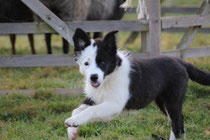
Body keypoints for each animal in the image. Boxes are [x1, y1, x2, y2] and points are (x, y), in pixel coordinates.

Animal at [65, 27, 209, 139]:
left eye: (102, 62)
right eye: (86, 63)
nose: (93, 78)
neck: (109, 77)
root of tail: (181, 62)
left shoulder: (115, 104)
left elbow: (92, 110)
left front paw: (73, 122)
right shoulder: (95, 97)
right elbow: (77, 109)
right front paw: (72, 130)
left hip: (172, 100)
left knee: (177, 124)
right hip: (162, 102)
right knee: (180, 122)